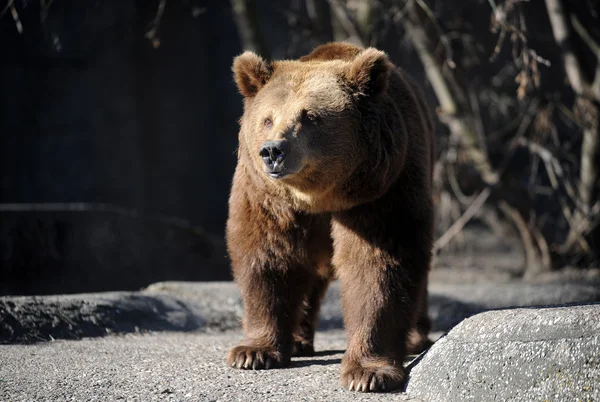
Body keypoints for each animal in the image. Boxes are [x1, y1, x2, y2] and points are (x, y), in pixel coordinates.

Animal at [223, 41, 434, 392]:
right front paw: (252, 352)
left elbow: (377, 266)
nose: (272, 151)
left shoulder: (380, 192)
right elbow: (267, 259)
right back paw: (298, 339)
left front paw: (367, 372)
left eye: (310, 116)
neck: (318, 196)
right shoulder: (268, 200)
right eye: (267, 119)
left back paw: (416, 337)